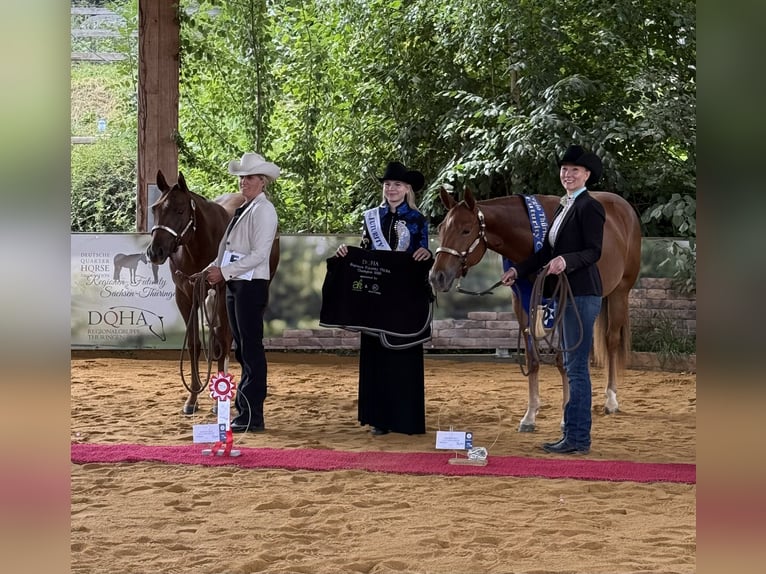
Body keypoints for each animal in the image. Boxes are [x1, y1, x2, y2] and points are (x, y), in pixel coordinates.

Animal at [146, 170, 280, 415]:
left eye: (180, 210)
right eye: (155, 209)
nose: (155, 252)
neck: (198, 247)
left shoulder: (221, 295)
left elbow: (221, 344)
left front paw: (220, 400)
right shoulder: (185, 297)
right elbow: (194, 344)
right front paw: (192, 398)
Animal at [429, 187, 641, 432]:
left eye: (466, 230)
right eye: (442, 228)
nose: (437, 277)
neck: (531, 240)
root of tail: (625, 209)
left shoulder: (562, 307)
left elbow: (561, 361)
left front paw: (565, 416)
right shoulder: (522, 306)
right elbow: (533, 359)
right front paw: (530, 416)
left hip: (619, 293)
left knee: (611, 341)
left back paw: (611, 400)